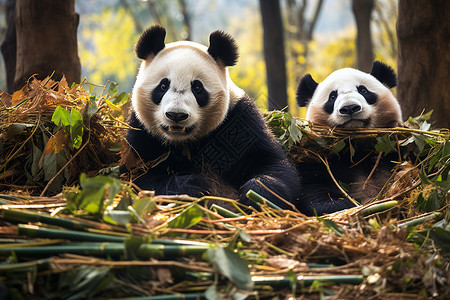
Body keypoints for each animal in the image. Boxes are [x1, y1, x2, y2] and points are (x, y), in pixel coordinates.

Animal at [121, 25, 300, 209]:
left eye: (197, 88)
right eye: (163, 86)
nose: (176, 115)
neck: (184, 142)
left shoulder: (239, 119)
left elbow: (271, 162)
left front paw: (256, 194)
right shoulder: (141, 130)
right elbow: (136, 177)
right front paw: (193, 186)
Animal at [296, 61, 400, 216]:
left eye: (363, 90)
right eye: (332, 97)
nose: (350, 107)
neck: (356, 147)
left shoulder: (392, 152)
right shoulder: (321, 159)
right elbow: (312, 191)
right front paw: (350, 203)